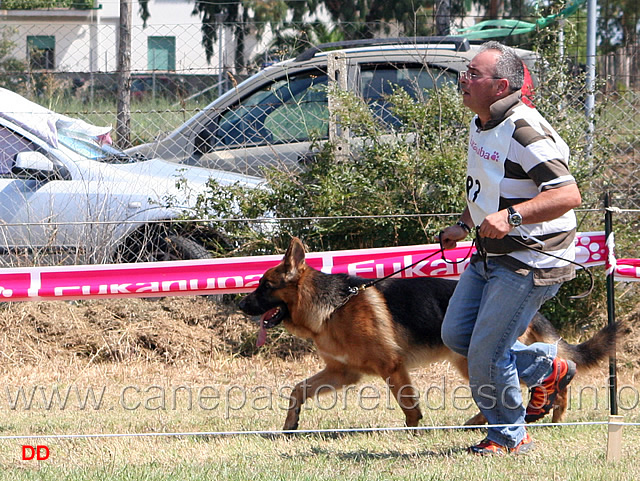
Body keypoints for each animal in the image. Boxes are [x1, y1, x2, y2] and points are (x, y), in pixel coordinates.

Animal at [238, 238, 616, 430]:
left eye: (264, 286)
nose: (240, 305)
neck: (333, 306)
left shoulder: (392, 367)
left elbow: (407, 404)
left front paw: (413, 429)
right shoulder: (342, 372)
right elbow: (297, 390)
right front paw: (290, 424)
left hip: (472, 357)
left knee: (523, 382)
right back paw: (551, 410)